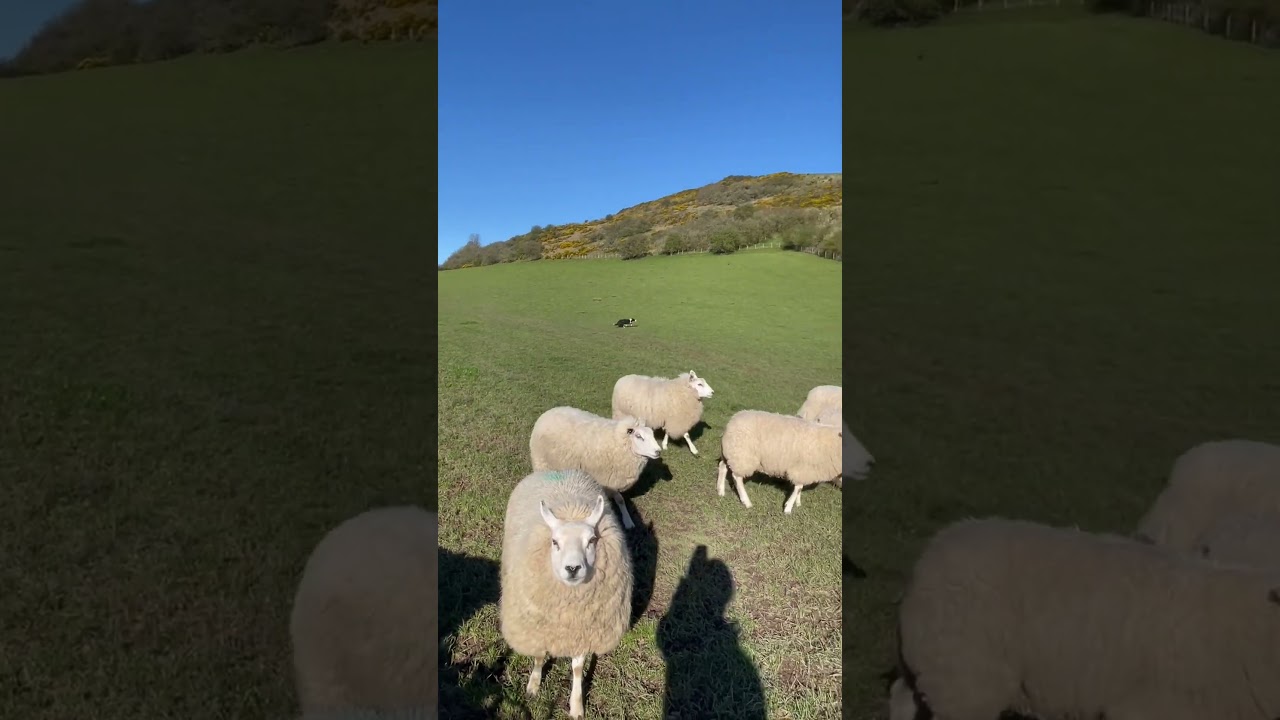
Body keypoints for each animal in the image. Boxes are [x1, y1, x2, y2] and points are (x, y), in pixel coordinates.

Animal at [501, 469, 633, 719]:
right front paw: (533, 685)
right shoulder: (539, 627)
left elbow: (578, 668)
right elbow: (539, 656)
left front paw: (576, 705)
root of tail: (561, 470)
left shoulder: (583, 629)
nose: (573, 568)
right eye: (554, 542)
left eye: (592, 540)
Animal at [529, 406, 661, 530]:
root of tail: (549, 412)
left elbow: (620, 500)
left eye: (652, 434)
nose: (658, 451)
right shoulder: (604, 481)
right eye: (639, 436)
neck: (619, 444)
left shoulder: (612, 481)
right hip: (541, 463)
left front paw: (628, 521)